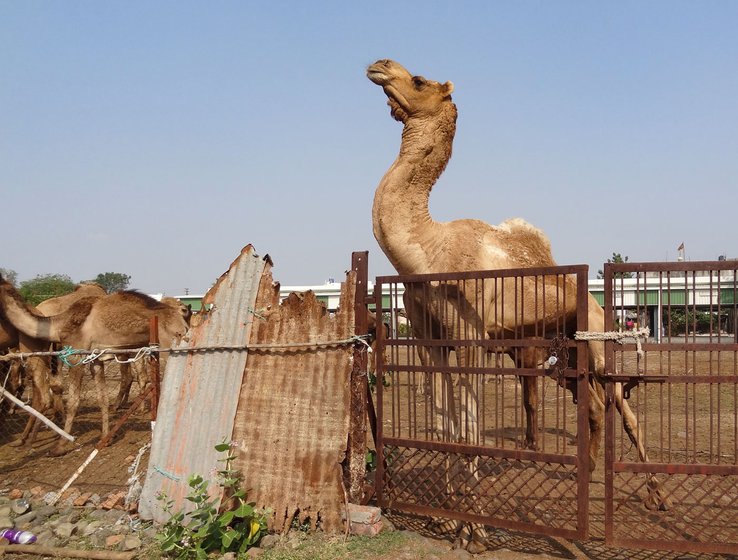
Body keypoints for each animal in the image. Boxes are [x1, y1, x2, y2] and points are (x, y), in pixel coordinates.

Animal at [0, 276, 190, 456]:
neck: (57, 324)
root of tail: (184, 323)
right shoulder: (96, 359)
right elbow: (102, 399)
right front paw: (106, 438)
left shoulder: (75, 354)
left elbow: (73, 401)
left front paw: (60, 446)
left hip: (171, 347)